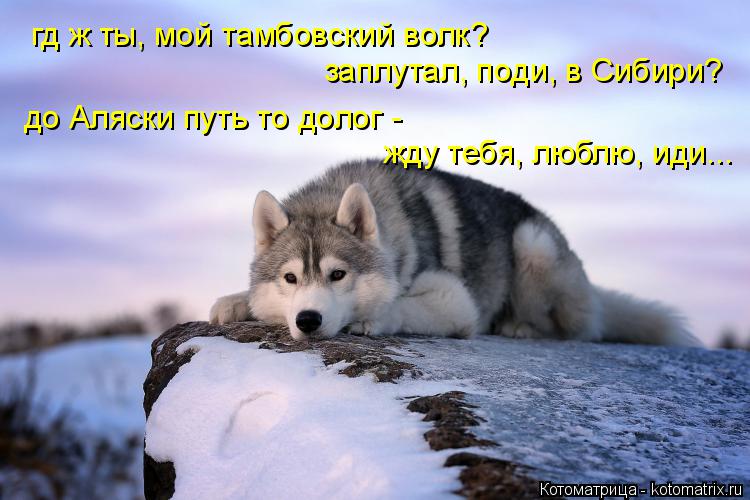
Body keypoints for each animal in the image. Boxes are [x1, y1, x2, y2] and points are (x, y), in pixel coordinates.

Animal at [209, 159, 700, 346]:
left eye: (338, 275)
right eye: (290, 279)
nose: (308, 320)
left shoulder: (455, 300)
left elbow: (399, 306)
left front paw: (373, 318)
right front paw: (234, 302)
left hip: (534, 245)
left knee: (577, 330)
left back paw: (517, 325)